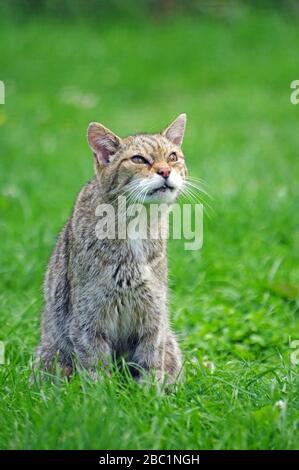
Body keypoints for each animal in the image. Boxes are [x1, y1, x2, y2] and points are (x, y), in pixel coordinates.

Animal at [34, 112, 189, 384]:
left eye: (172, 156)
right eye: (138, 159)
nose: (165, 170)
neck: (137, 224)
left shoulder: (153, 317)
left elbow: (151, 364)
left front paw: (151, 393)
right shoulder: (88, 320)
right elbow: (96, 369)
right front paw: (102, 393)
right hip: (52, 356)